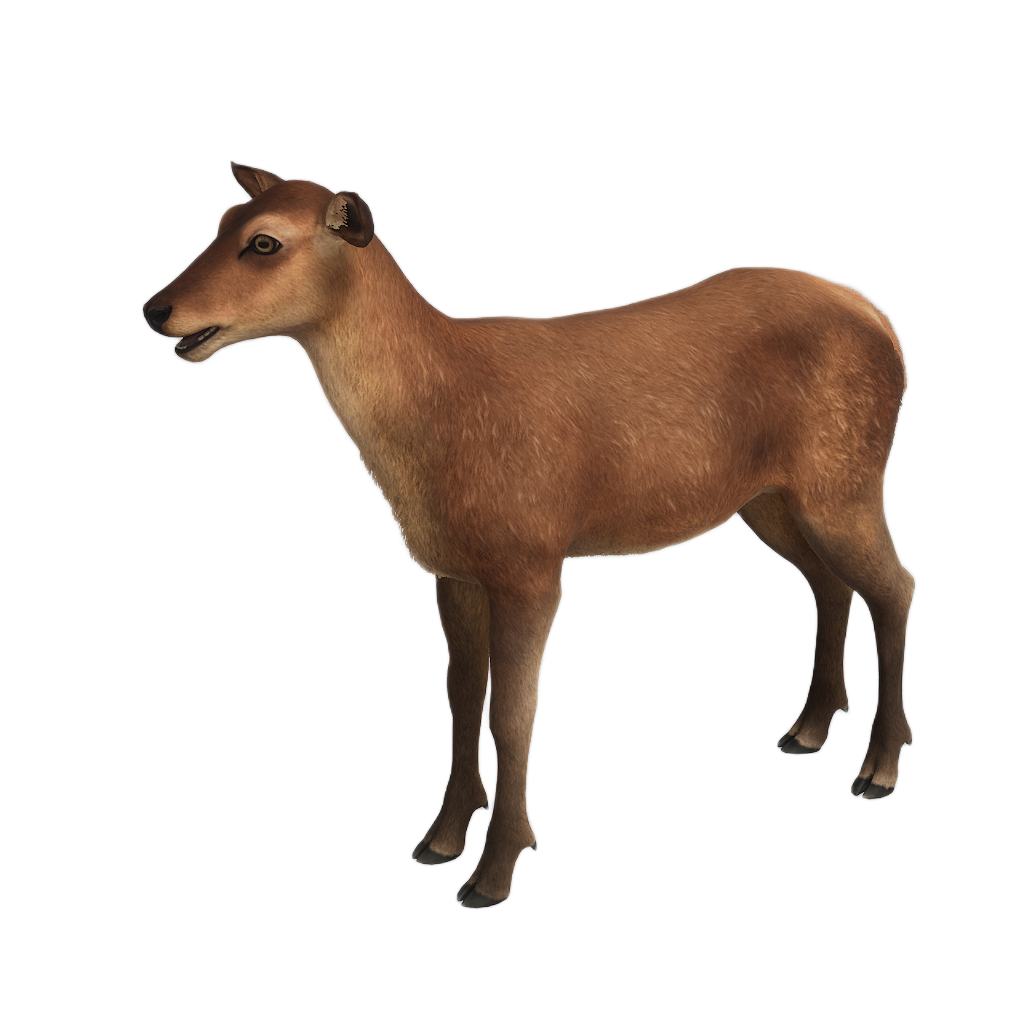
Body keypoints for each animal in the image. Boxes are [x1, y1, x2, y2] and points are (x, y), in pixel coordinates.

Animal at [144, 161, 916, 909]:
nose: (157, 309)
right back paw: (808, 730)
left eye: (264, 242)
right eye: (222, 220)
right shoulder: (451, 568)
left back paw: (877, 768)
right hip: (771, 496)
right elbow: (460, 699)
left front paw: (494, 872)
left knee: (895, 584)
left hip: (843, 476)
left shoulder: (531, 561)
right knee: (831, 582)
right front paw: (441, 839)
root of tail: (883, 321)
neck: (439, 415)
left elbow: (513, 716)